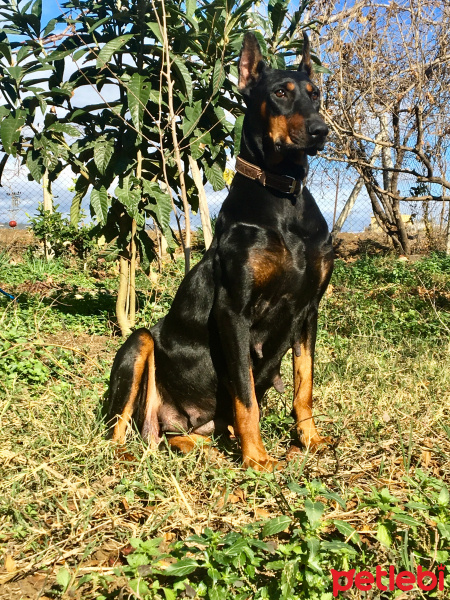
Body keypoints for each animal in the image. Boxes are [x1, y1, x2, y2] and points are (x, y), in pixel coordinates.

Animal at [107, 31, 334, 474]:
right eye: (281, 92)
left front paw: (311, 440)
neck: (283, 197)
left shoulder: (309, 310)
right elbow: (247, 397)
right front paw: (257, 459)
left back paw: (201, 448)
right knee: (116, 430)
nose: (321, 130)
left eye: (316, 94)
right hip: (139, 343)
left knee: (173, 439)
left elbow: (304, 385)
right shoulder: (234, 311)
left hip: (184, 426)